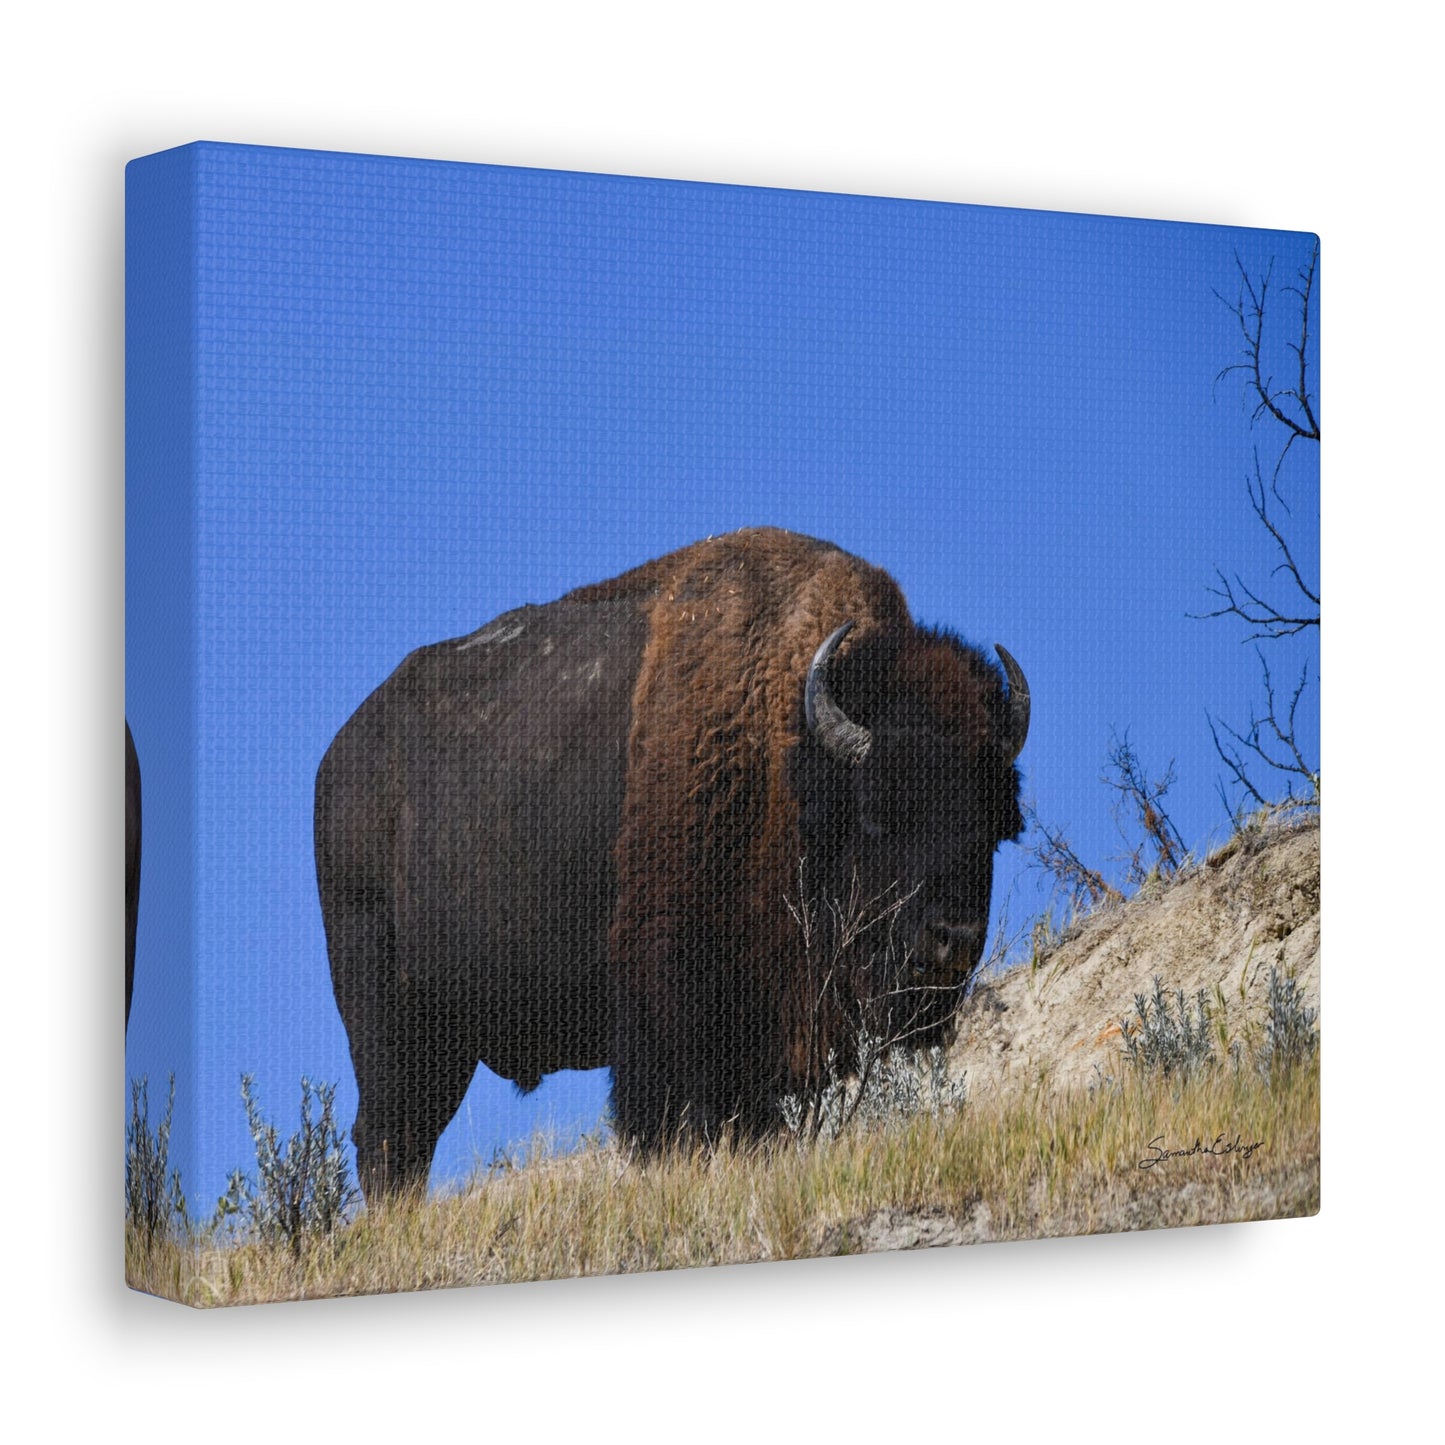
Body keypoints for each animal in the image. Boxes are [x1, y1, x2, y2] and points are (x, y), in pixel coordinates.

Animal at [316, 528, 1028, 1196]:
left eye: (995, 825)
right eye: (878, 812)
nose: (953, 939)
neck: (790, 758)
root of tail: (337, 758)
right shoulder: (667, 1008)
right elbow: (671, 1122)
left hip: (446, 1036)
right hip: (383, 1003)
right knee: (389, 1134)